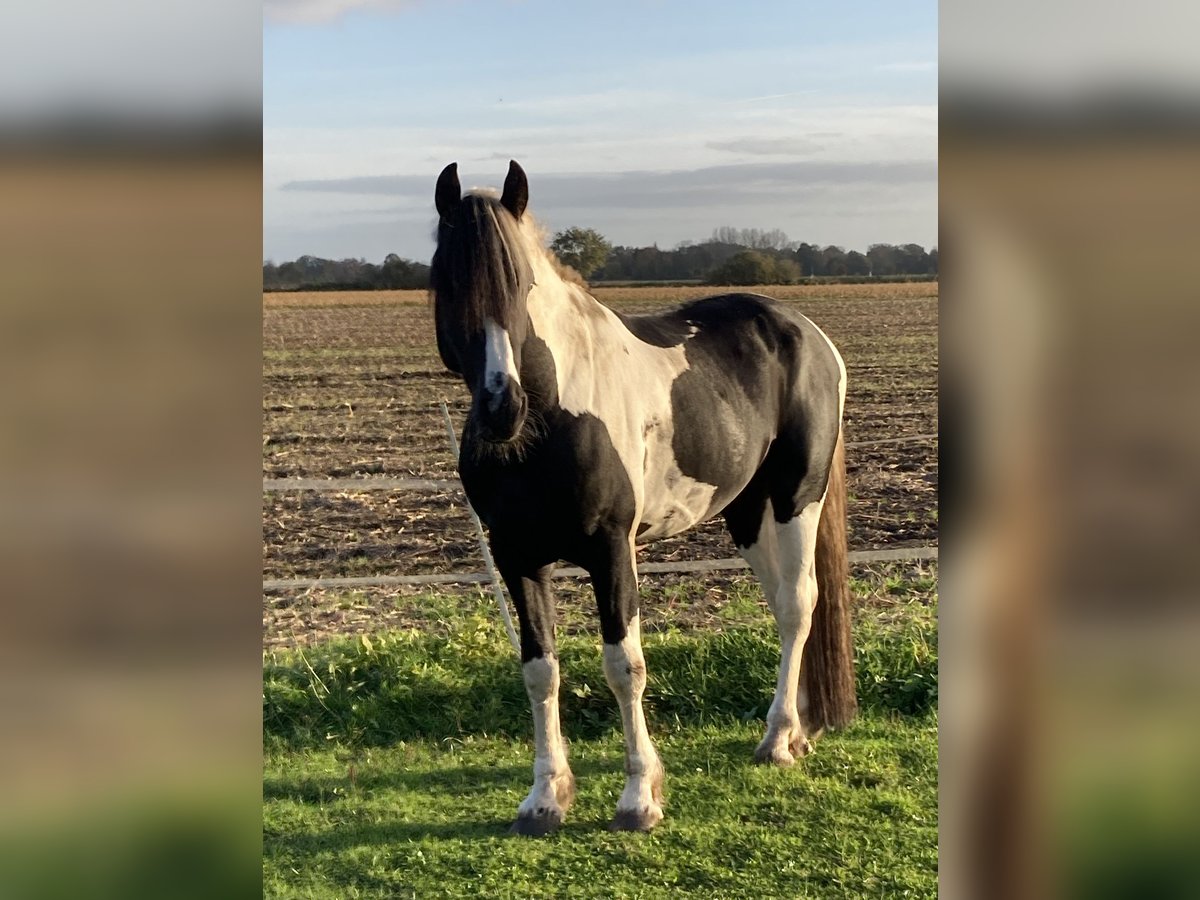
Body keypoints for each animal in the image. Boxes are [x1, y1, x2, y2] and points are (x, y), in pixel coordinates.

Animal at [429, 162, 854, 840]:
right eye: (446, 280)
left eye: (522, 282)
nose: (501, 408)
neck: (552, 419)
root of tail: (807, 334)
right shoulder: (516, 556)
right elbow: (539, 669)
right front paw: (545, 798)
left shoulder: (611, 550)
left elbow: (623, 665)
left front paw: (638, 797)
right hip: (746, 514)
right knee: (786, 606)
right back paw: (797, 730)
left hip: (796, 500)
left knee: (797, 606)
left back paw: (777, 742)